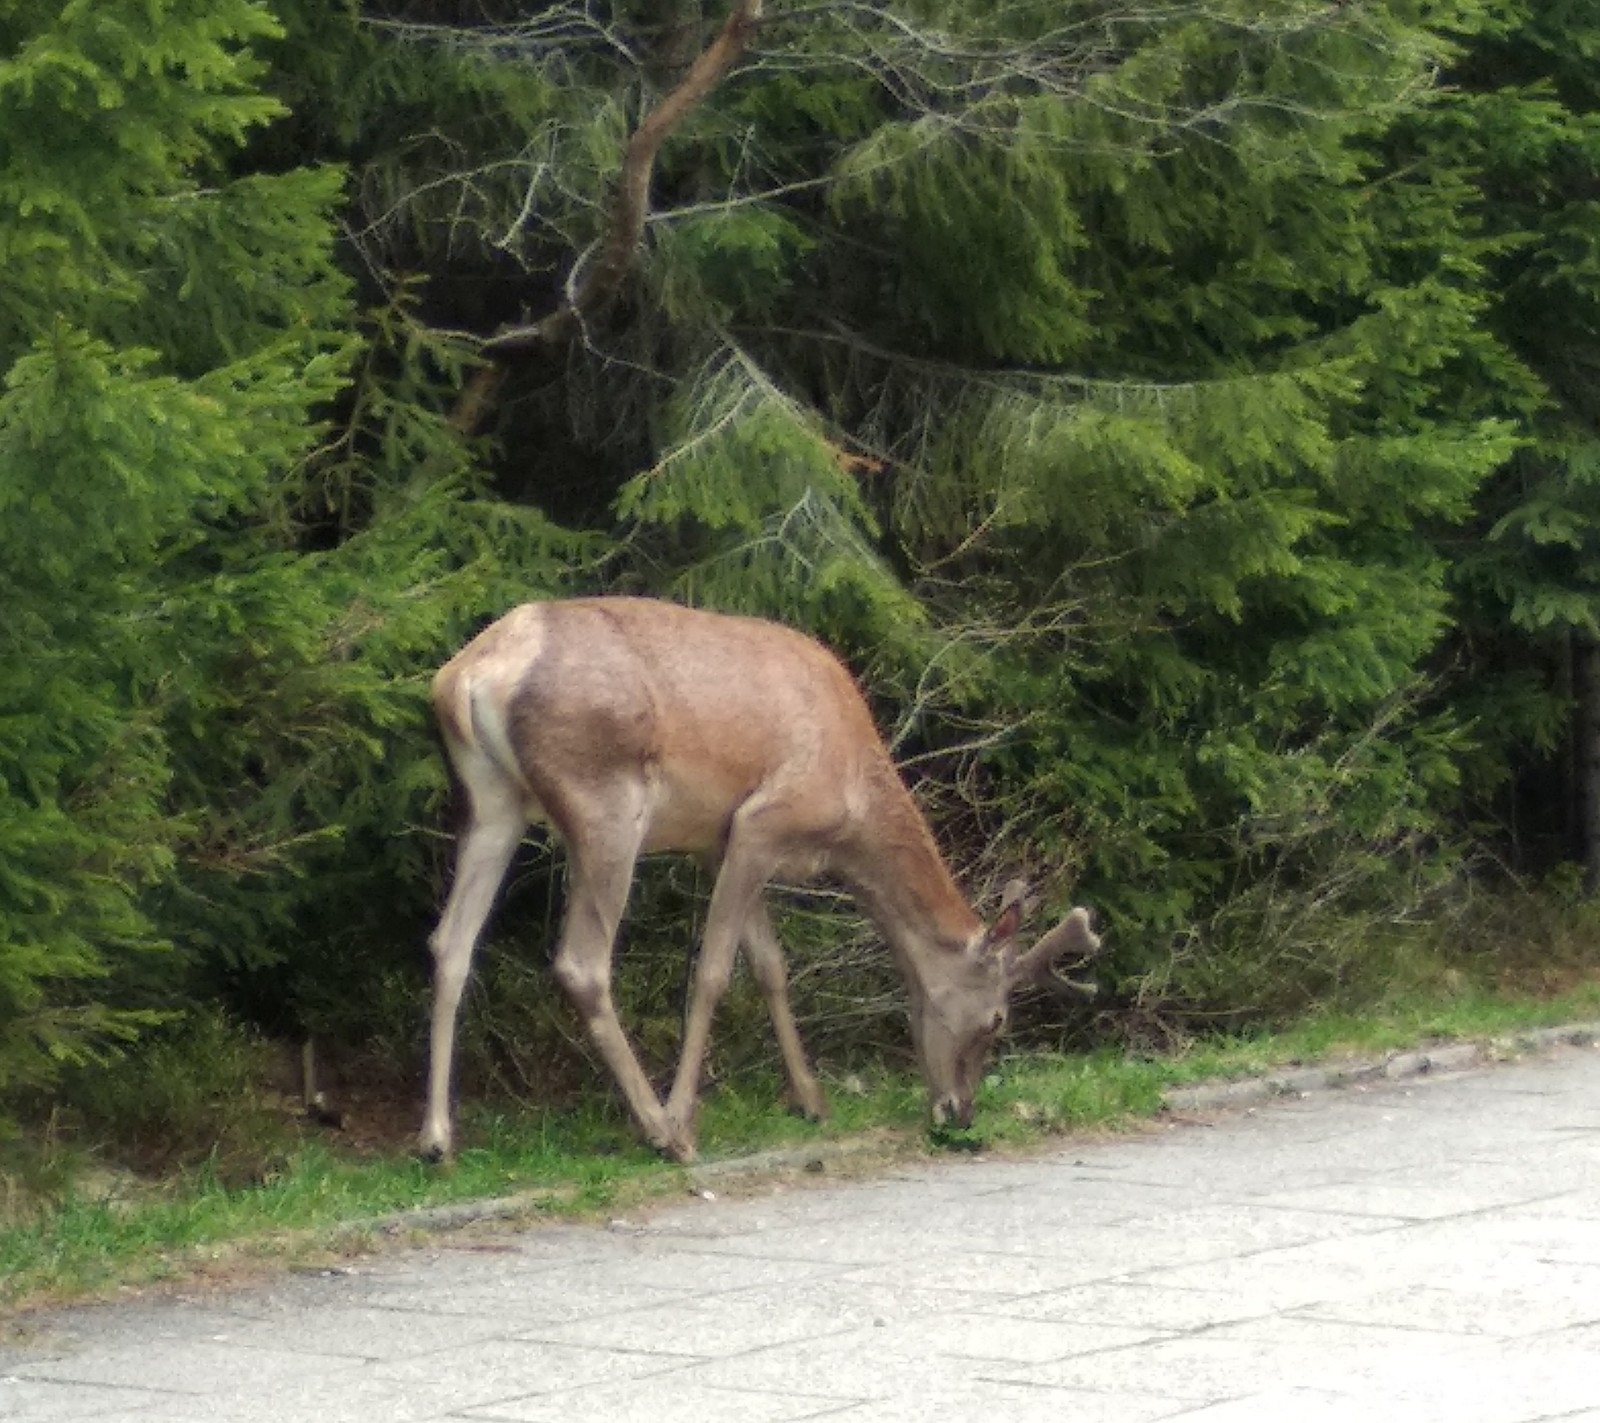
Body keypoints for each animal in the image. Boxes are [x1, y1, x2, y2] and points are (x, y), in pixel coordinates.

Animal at [419, 595, 1107, 1158]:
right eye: (997, 1020)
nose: (958, 1111)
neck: (853, 799)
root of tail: (471, 675)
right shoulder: (762, 821)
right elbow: (716, 973)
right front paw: (686, 1114)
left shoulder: (717, 843)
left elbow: (773, 966)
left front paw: (811, 1100)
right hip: (605, 801)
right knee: (581, 963)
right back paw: (660, 1130)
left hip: (492, 801)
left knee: (450, 941)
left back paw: (435, 1138)